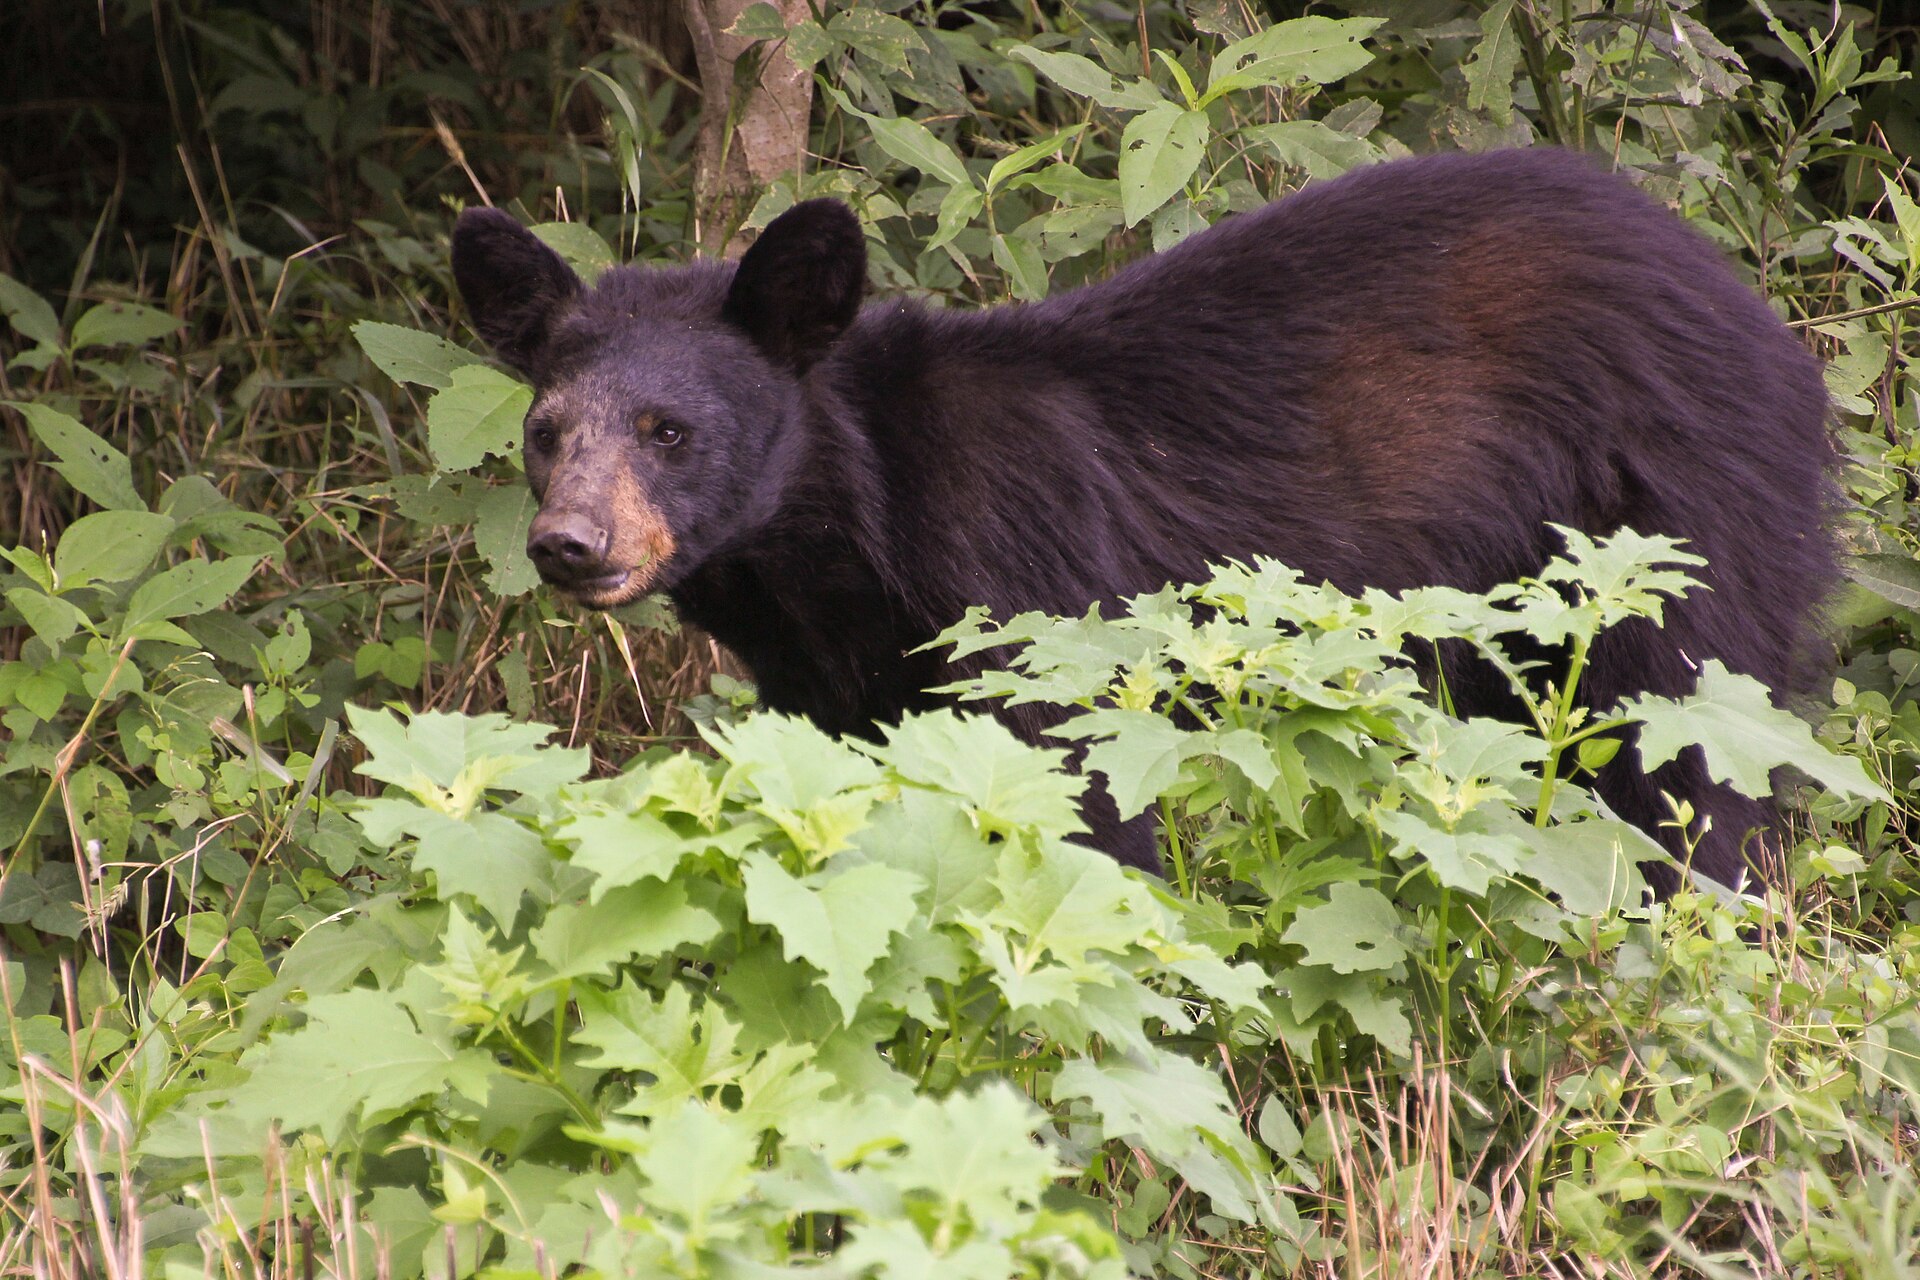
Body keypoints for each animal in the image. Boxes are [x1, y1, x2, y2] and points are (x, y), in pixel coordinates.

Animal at [450, 146, 1837, 892]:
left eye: (669, 430)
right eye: (547, 430)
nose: (570, 545)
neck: (845, 543)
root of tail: (1770, 323)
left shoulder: (1034, 594)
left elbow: (1079, 809)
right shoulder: (839, 680)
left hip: (1674, 514)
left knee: (1694, 747)